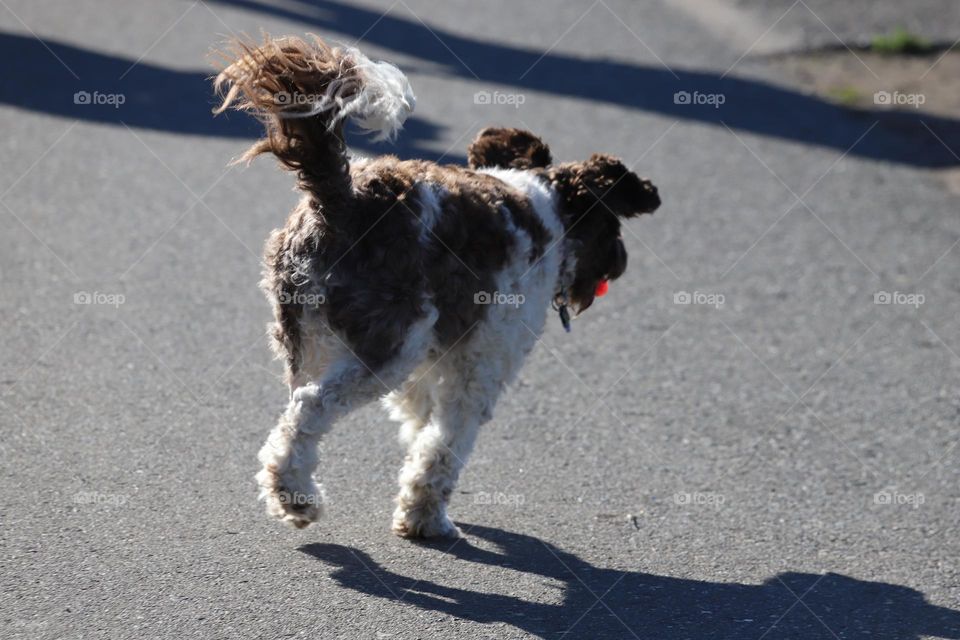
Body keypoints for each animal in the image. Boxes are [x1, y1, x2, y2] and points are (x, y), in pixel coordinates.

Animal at [212, 33, 660, 536]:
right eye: (614, 228)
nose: (621, 262)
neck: (545, 209)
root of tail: (342, 198)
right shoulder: (480, 364)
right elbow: (446, 443)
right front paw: (426, 514)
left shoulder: (432, 363)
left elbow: (421, 428)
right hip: (387, 348)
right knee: (311, 407)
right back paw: (297, 497)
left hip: (305, 337)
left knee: (293, 413)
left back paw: (291, 491)